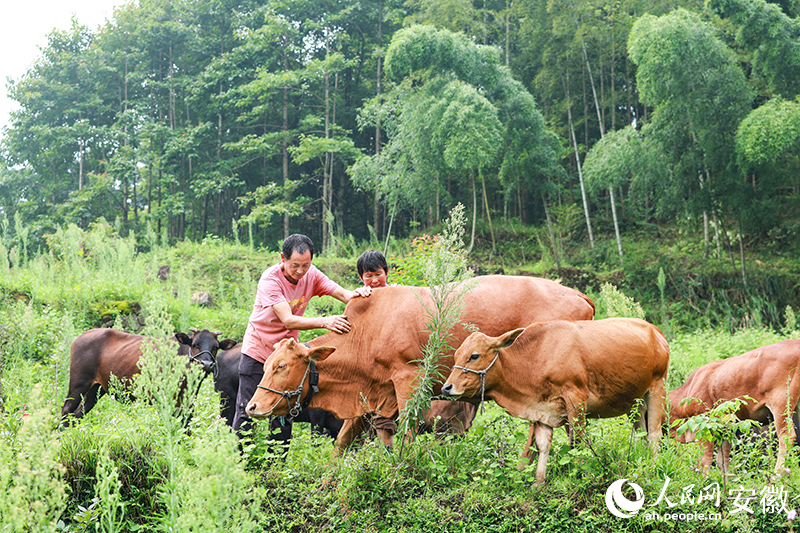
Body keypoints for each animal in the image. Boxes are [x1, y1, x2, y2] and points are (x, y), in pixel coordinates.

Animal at [61, 324, 236, 420]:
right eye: (194, 344)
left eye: (215, 347)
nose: (206, 364)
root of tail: (81, 336)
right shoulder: (162, 400)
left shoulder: (187, 404)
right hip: (78, 384)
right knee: (66, 410)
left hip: (96, 389)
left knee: (78, 414)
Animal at [244, 276, 592, 450]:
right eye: (266, 364)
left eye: (281, 366)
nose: (252, 406)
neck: (365, 332)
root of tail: (578, 294)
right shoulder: (373, 394)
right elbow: (344, 440)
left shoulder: (407, 377)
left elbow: (407, 431)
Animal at [440, 318, 664, 484]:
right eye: (457, 355)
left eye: (474, 355)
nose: (446, 388)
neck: (536, 357)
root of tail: (656, 332)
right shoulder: (542, 410)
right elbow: (542, 445)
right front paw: (539, 482)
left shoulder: (576, 398)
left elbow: (577, 441)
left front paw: (578, 474)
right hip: (635, 402)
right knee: (642, 434)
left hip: (656, 389)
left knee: (654, 434)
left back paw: (652, 467)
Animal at [668, 336, 800, 474]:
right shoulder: (725, 428)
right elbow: (722, 461)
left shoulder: (705, 425)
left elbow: (705, 462)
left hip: (781, 404)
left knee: (786, 437)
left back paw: (777, 475)